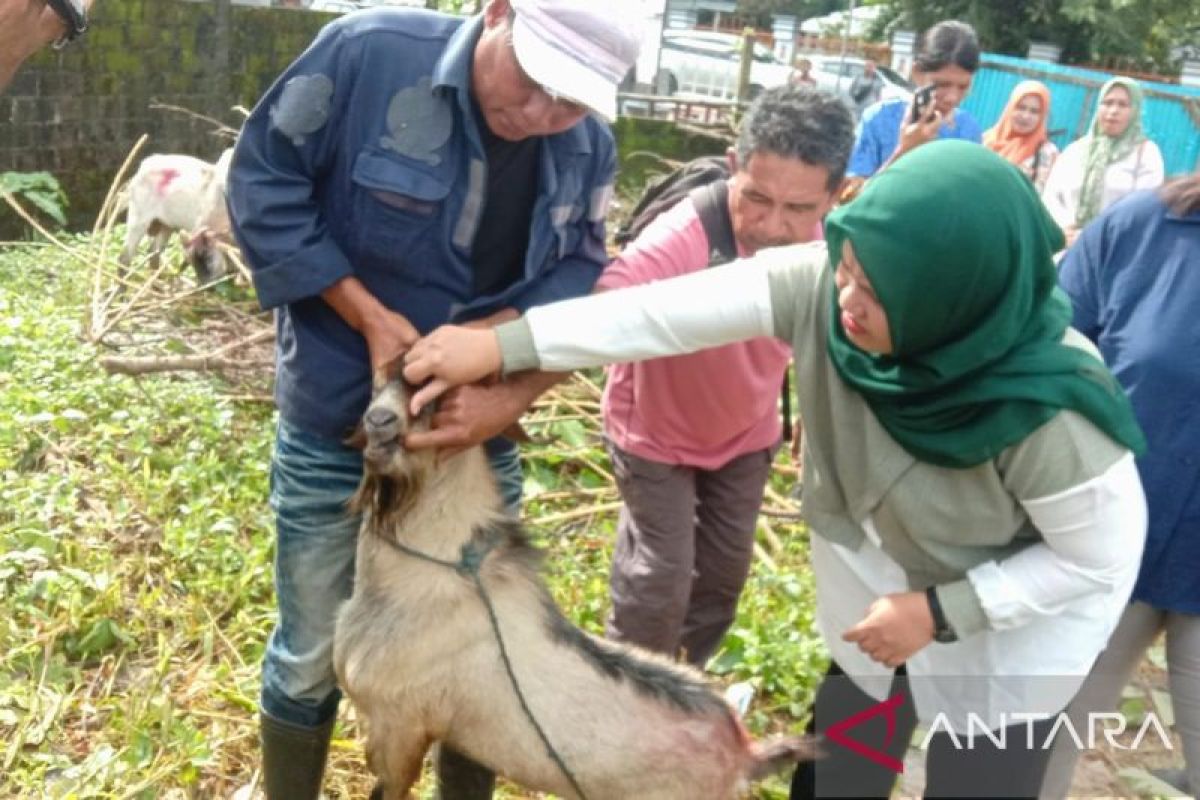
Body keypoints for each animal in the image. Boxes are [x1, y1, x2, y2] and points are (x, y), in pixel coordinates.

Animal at [118, 149, 234, 284]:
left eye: (206, 258)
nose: (205, 285)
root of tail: (145, 164)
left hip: (166, 226)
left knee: (153, 254)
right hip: (138, 220)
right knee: (125, 258)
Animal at [333, 367, 811, 800]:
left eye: (435, 399)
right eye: (384, 378)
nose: (378, 420)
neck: (441, 565)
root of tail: (744, 756)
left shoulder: (400, 726)